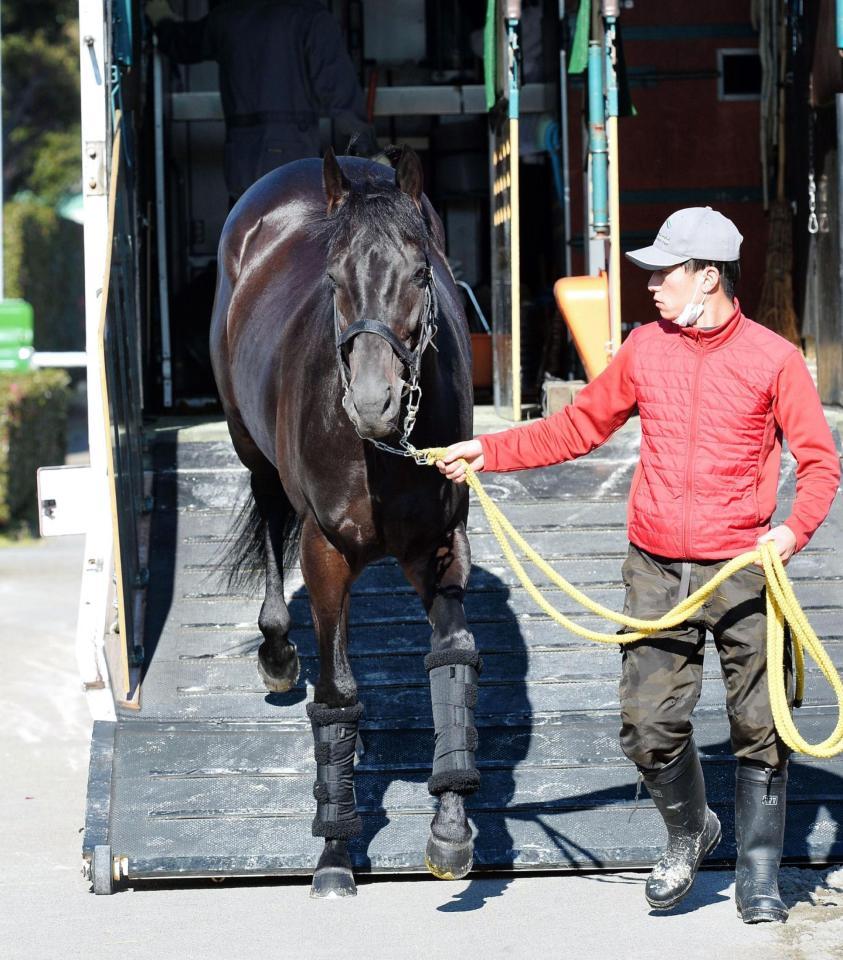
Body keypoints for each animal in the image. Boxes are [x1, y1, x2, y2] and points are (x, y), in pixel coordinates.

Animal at [211, 146, 482, 896]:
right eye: (333, 279)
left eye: (420, 272)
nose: (372, 402)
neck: (382, 455)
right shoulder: (326, 552)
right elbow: (336, 697)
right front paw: (334, 852)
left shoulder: (440, 546)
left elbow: (450, 658)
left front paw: (450, 829)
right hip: (250, 446)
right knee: (268, 515)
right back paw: (277, 652)